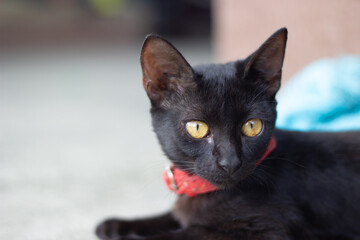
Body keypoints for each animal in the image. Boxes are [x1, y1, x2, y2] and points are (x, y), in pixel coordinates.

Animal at [95, 28, 360, 240]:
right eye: (197, 128)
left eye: (252, 126)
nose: (230, 162)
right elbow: (171, 215)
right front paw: (116, 225)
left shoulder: (268, 228)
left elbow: (192, 232)